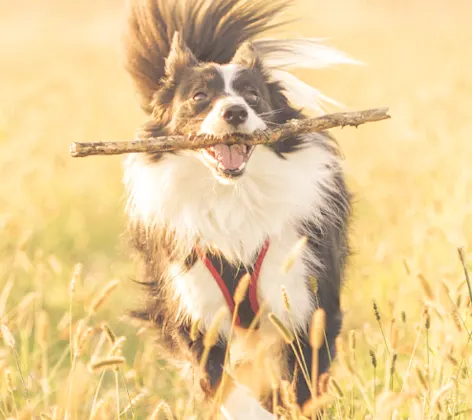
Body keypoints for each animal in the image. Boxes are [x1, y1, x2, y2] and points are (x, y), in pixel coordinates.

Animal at [123, 0, 356, 416]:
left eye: (253, 95)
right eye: (199, 96)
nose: (235, 112)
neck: (232, 197)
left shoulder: (304, 303)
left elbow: (300, 388)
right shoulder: (194, 312)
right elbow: (223, 386)